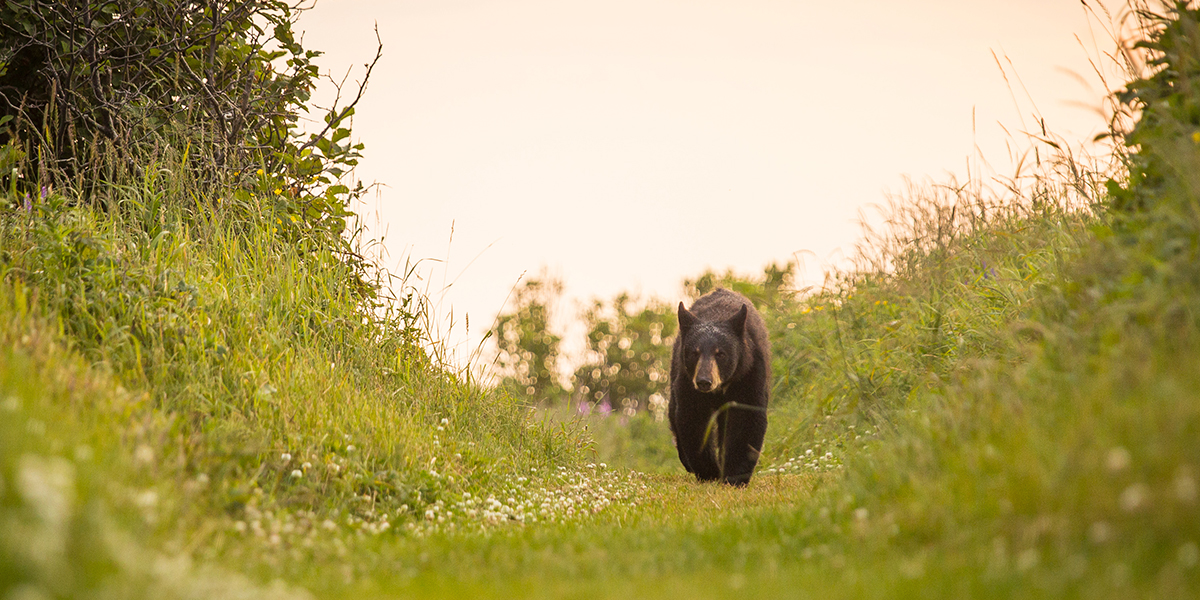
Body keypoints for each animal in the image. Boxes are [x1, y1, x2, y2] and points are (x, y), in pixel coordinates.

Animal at [669, 288, 771, 486]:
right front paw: (709, 472)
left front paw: (735, 476)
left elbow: (746, 418)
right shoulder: (687, 381)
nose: (704, 381)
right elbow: (693, 419)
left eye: (721, 354)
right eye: (694, 353)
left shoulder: (749, 374)